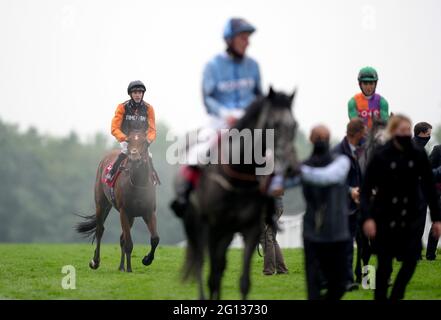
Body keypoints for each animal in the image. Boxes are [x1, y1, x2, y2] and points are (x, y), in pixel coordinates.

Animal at [76, 130, 159, 272]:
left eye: (144, 142)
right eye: (129, 140)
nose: (134, 157)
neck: (138, 183)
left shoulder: (148, 212)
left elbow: (155, 239)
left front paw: (147, 260)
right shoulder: (124, 212)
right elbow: (129, 243)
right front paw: (130, 269)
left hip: (130, 217)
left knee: (121, 238)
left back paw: (121, 267)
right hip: (101, 204)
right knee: (100, 230)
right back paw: (95, 261)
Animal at [177, 88, 298, 300]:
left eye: (295, 125)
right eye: (273, 124)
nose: (290, 166)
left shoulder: (250, 229)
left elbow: (242, 281)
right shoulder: (214, 228)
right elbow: (212, 272)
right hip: (199, 227)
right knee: (201, 263)